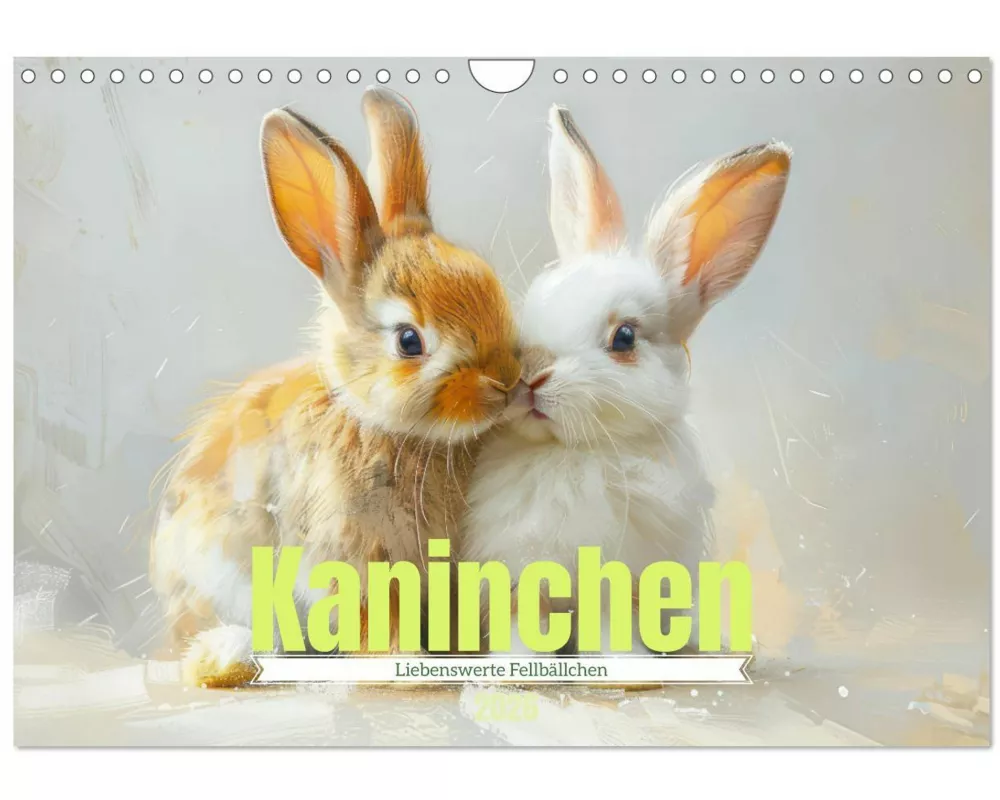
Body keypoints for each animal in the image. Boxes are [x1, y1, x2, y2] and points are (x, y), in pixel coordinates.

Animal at [149, 88, 521, 688]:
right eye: (410, 341)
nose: (506, 384)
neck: (386, 429)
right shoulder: (352, 555)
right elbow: (373, 617)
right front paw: (401, 667)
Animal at [463, 105, 791, 656]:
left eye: (624, 337)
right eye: (534, 301)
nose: (529, 373)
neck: (571, 454)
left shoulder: (621, 585)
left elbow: (611, 628)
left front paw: (628, 666)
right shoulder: (516, 580)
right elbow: (521, 629)